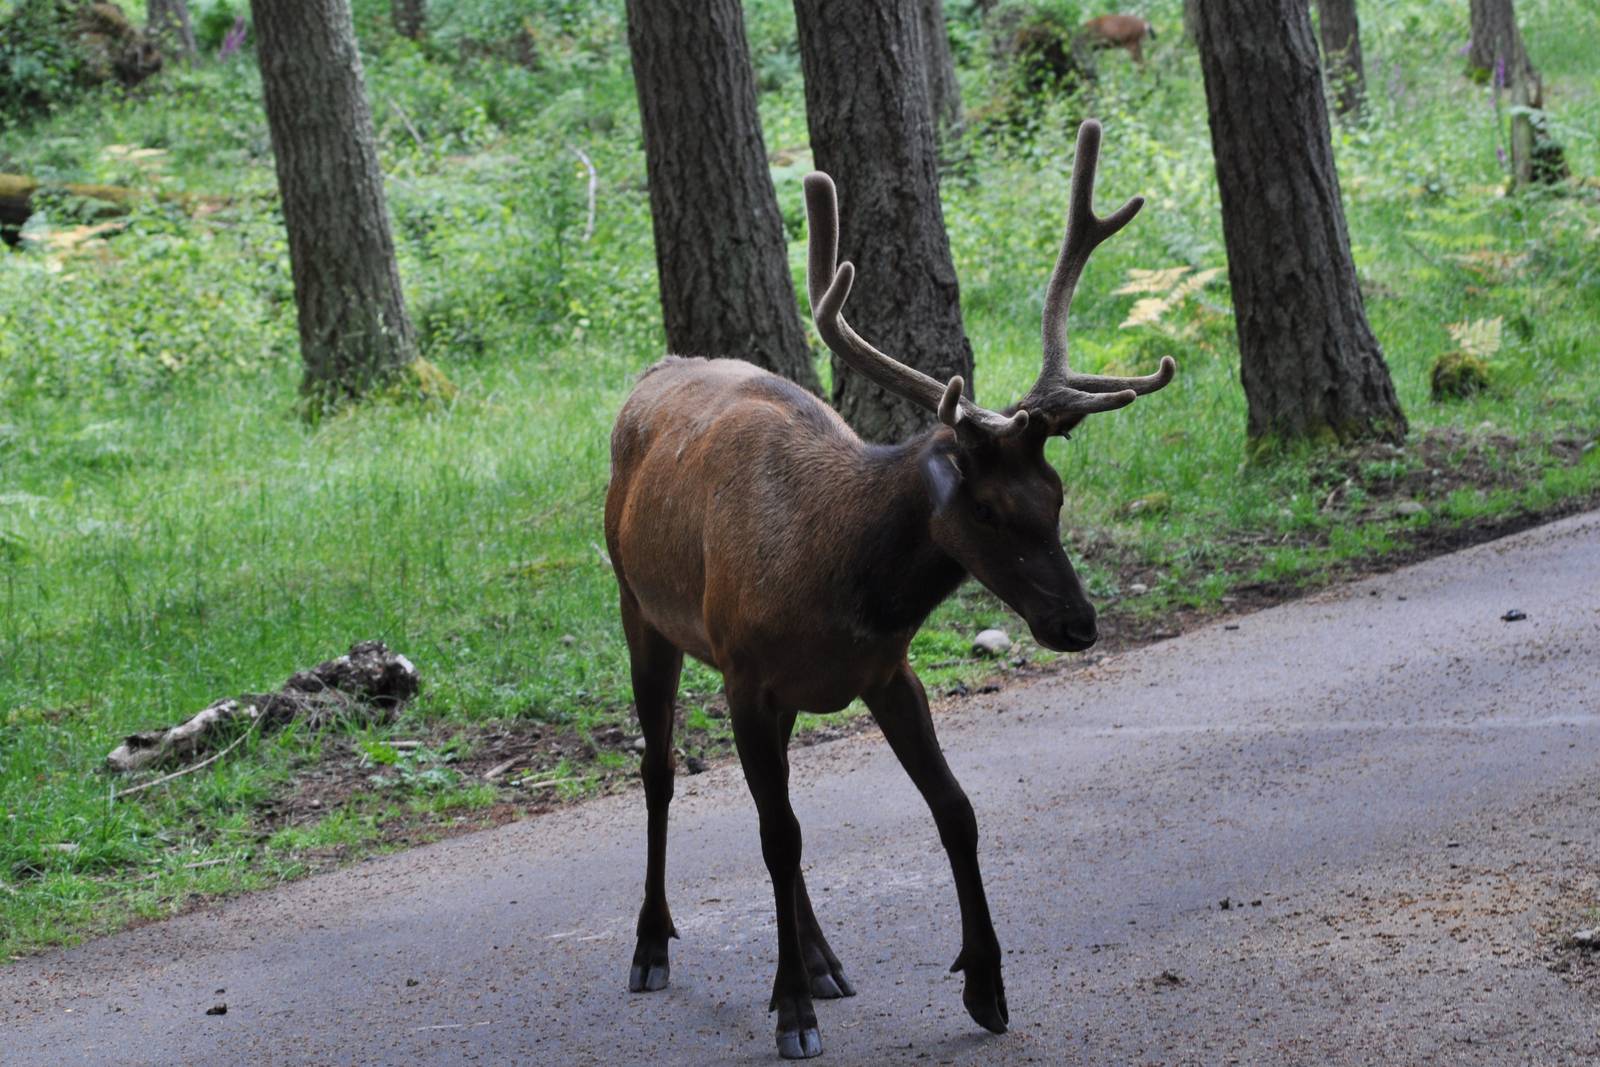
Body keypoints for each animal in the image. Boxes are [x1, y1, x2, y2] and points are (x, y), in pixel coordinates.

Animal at [603, 119, 1175, 1060]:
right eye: (987, 506)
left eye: (1056, 495)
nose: (1078, 622)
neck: (833, 578)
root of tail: (649, 373)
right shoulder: (745, 674)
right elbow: (774, 833)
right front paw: (789, 1011)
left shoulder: (883, 671)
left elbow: (953, 808)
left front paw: (987, 984)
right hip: (639, 608)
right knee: (660, 770)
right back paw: (653, 945)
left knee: (777, 811)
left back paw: (823, 957)